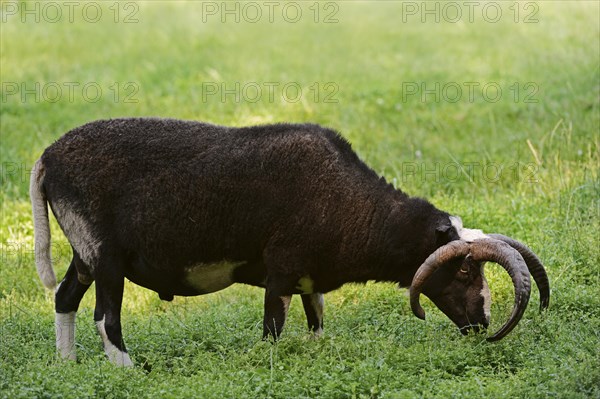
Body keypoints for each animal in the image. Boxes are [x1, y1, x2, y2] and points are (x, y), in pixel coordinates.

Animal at [31, 117, 548, 368]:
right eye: (463, 269)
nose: (481, 325)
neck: (348, 203)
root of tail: (47, 159)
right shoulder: (279, 274)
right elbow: (273, 333)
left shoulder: (309, 278)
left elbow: (316, 325)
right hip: (106, 257)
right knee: (106, 320)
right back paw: (128, 371)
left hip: (83, 254)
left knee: (65, 298)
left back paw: (67, 366)